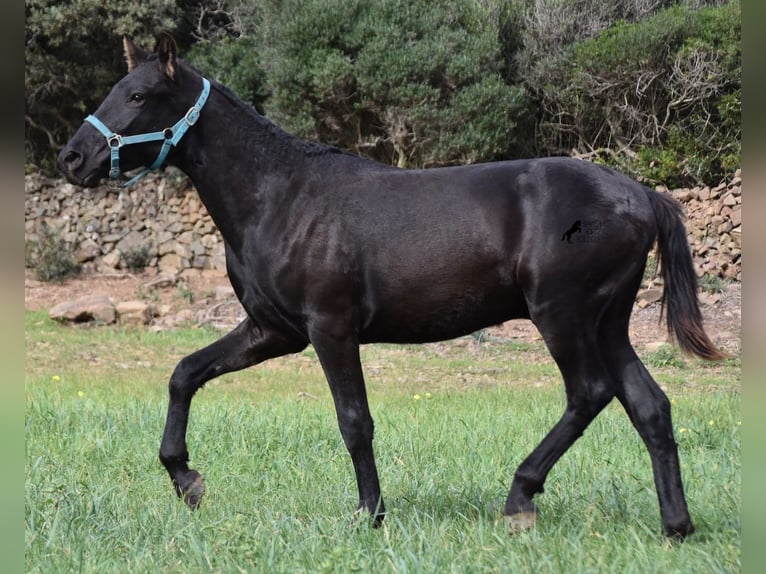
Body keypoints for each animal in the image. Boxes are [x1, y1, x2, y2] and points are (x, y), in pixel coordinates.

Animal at [60, 35, 728, 540]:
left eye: (138, 95)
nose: (72, 158)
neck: (280, 196)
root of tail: (640, 194)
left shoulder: (330, 328)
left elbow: (354, 420)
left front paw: (370, 513)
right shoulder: (274, 330)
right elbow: (185, 372)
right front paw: (188, 481)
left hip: (561, 316)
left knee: (589, 394)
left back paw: (520, 498)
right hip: (607, 321)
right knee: (649, 406)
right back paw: (675, 526)